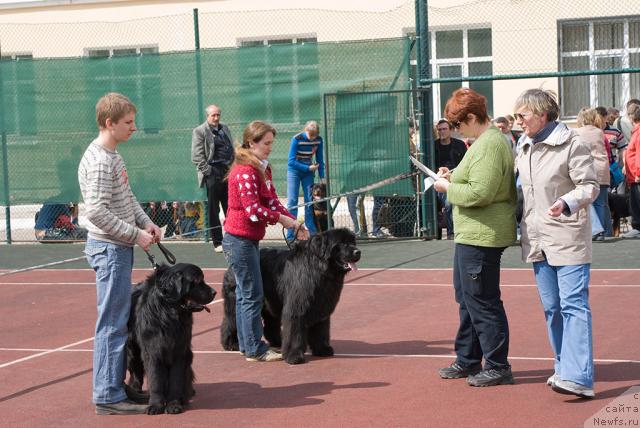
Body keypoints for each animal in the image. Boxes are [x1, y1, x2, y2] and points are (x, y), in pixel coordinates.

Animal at [126, 262, 216, 412]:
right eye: (197, 280)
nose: (214, 292)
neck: (169, 314)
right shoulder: (152, 350)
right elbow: (155, 378)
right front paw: (155, 405)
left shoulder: (179, 349)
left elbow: (176, 379)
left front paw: (174, 404)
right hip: (132, 348)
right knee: (136, 367)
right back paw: (135, 388)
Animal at [220, 227, 360, 364]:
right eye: (341, 243)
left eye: (352, 242)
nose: (357, 252)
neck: (318, 270)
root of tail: (230, 267)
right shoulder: (296, 308)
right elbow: (294, 332)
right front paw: (294, 356)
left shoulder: (321, 308)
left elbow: (320, 331)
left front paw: (322, 349)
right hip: (239, 300)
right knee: (230, 321)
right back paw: (231, 344)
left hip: (271, 303)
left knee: (270, 325)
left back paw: (278, 342)